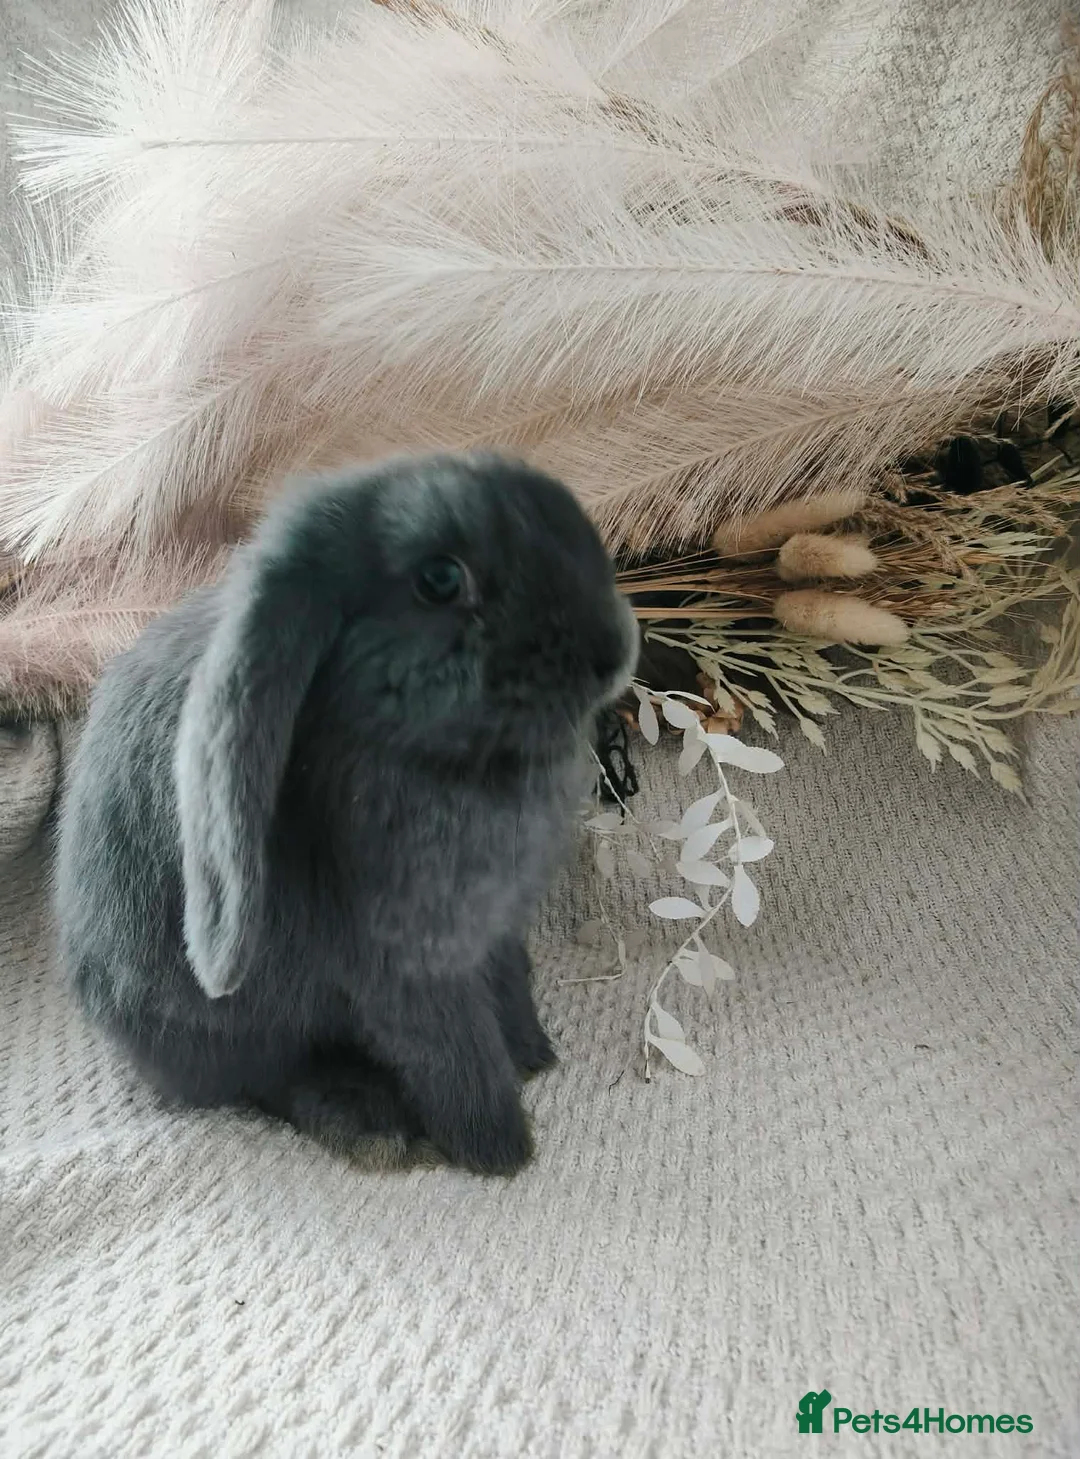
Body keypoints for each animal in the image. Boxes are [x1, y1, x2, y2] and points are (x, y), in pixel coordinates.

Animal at [54, 453, 638, 1175]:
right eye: (441, 579)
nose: (615, 652)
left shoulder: (494, 930)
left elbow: (506, 990)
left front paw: (531, 1054)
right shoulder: (401, 962)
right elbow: (454, 1051)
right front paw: (501, 1150)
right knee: (266, 1078)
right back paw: (366, 1120)